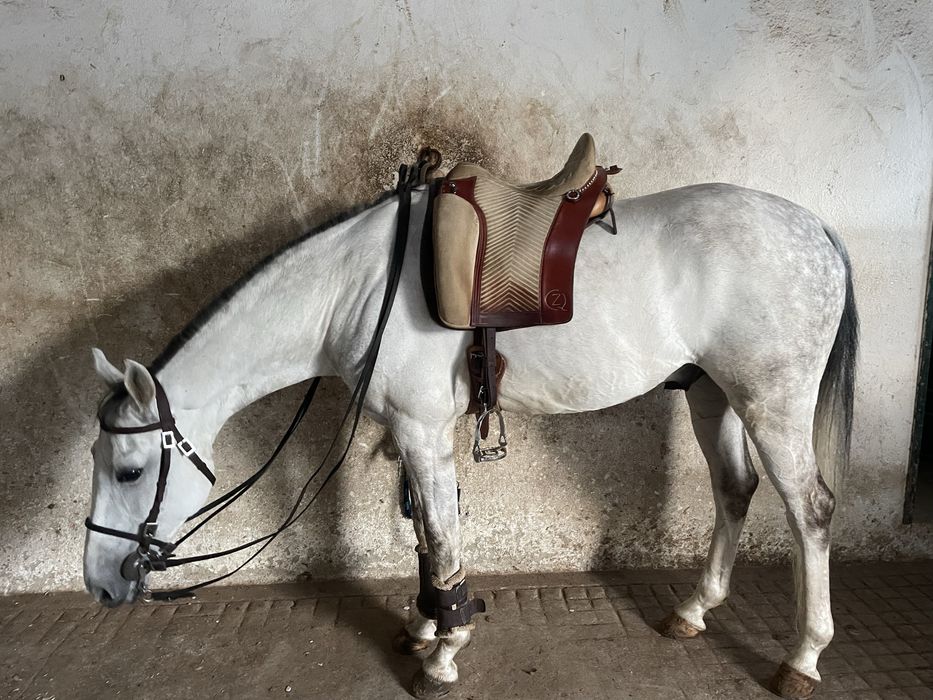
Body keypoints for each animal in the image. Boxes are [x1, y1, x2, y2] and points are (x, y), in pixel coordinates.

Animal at [83, 176, 857, 699]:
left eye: (128, 471)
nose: (100, 586)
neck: (355, 290)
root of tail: (815, 228)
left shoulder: (423, 430)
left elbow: (444, 539)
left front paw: (443, 653)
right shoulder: (411, 432)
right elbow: (428, 538)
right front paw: (426, 627)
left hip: (771, 404)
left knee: (810, 511)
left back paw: (802, 657)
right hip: (710, 394)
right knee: (734, 490)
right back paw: (693, 611)